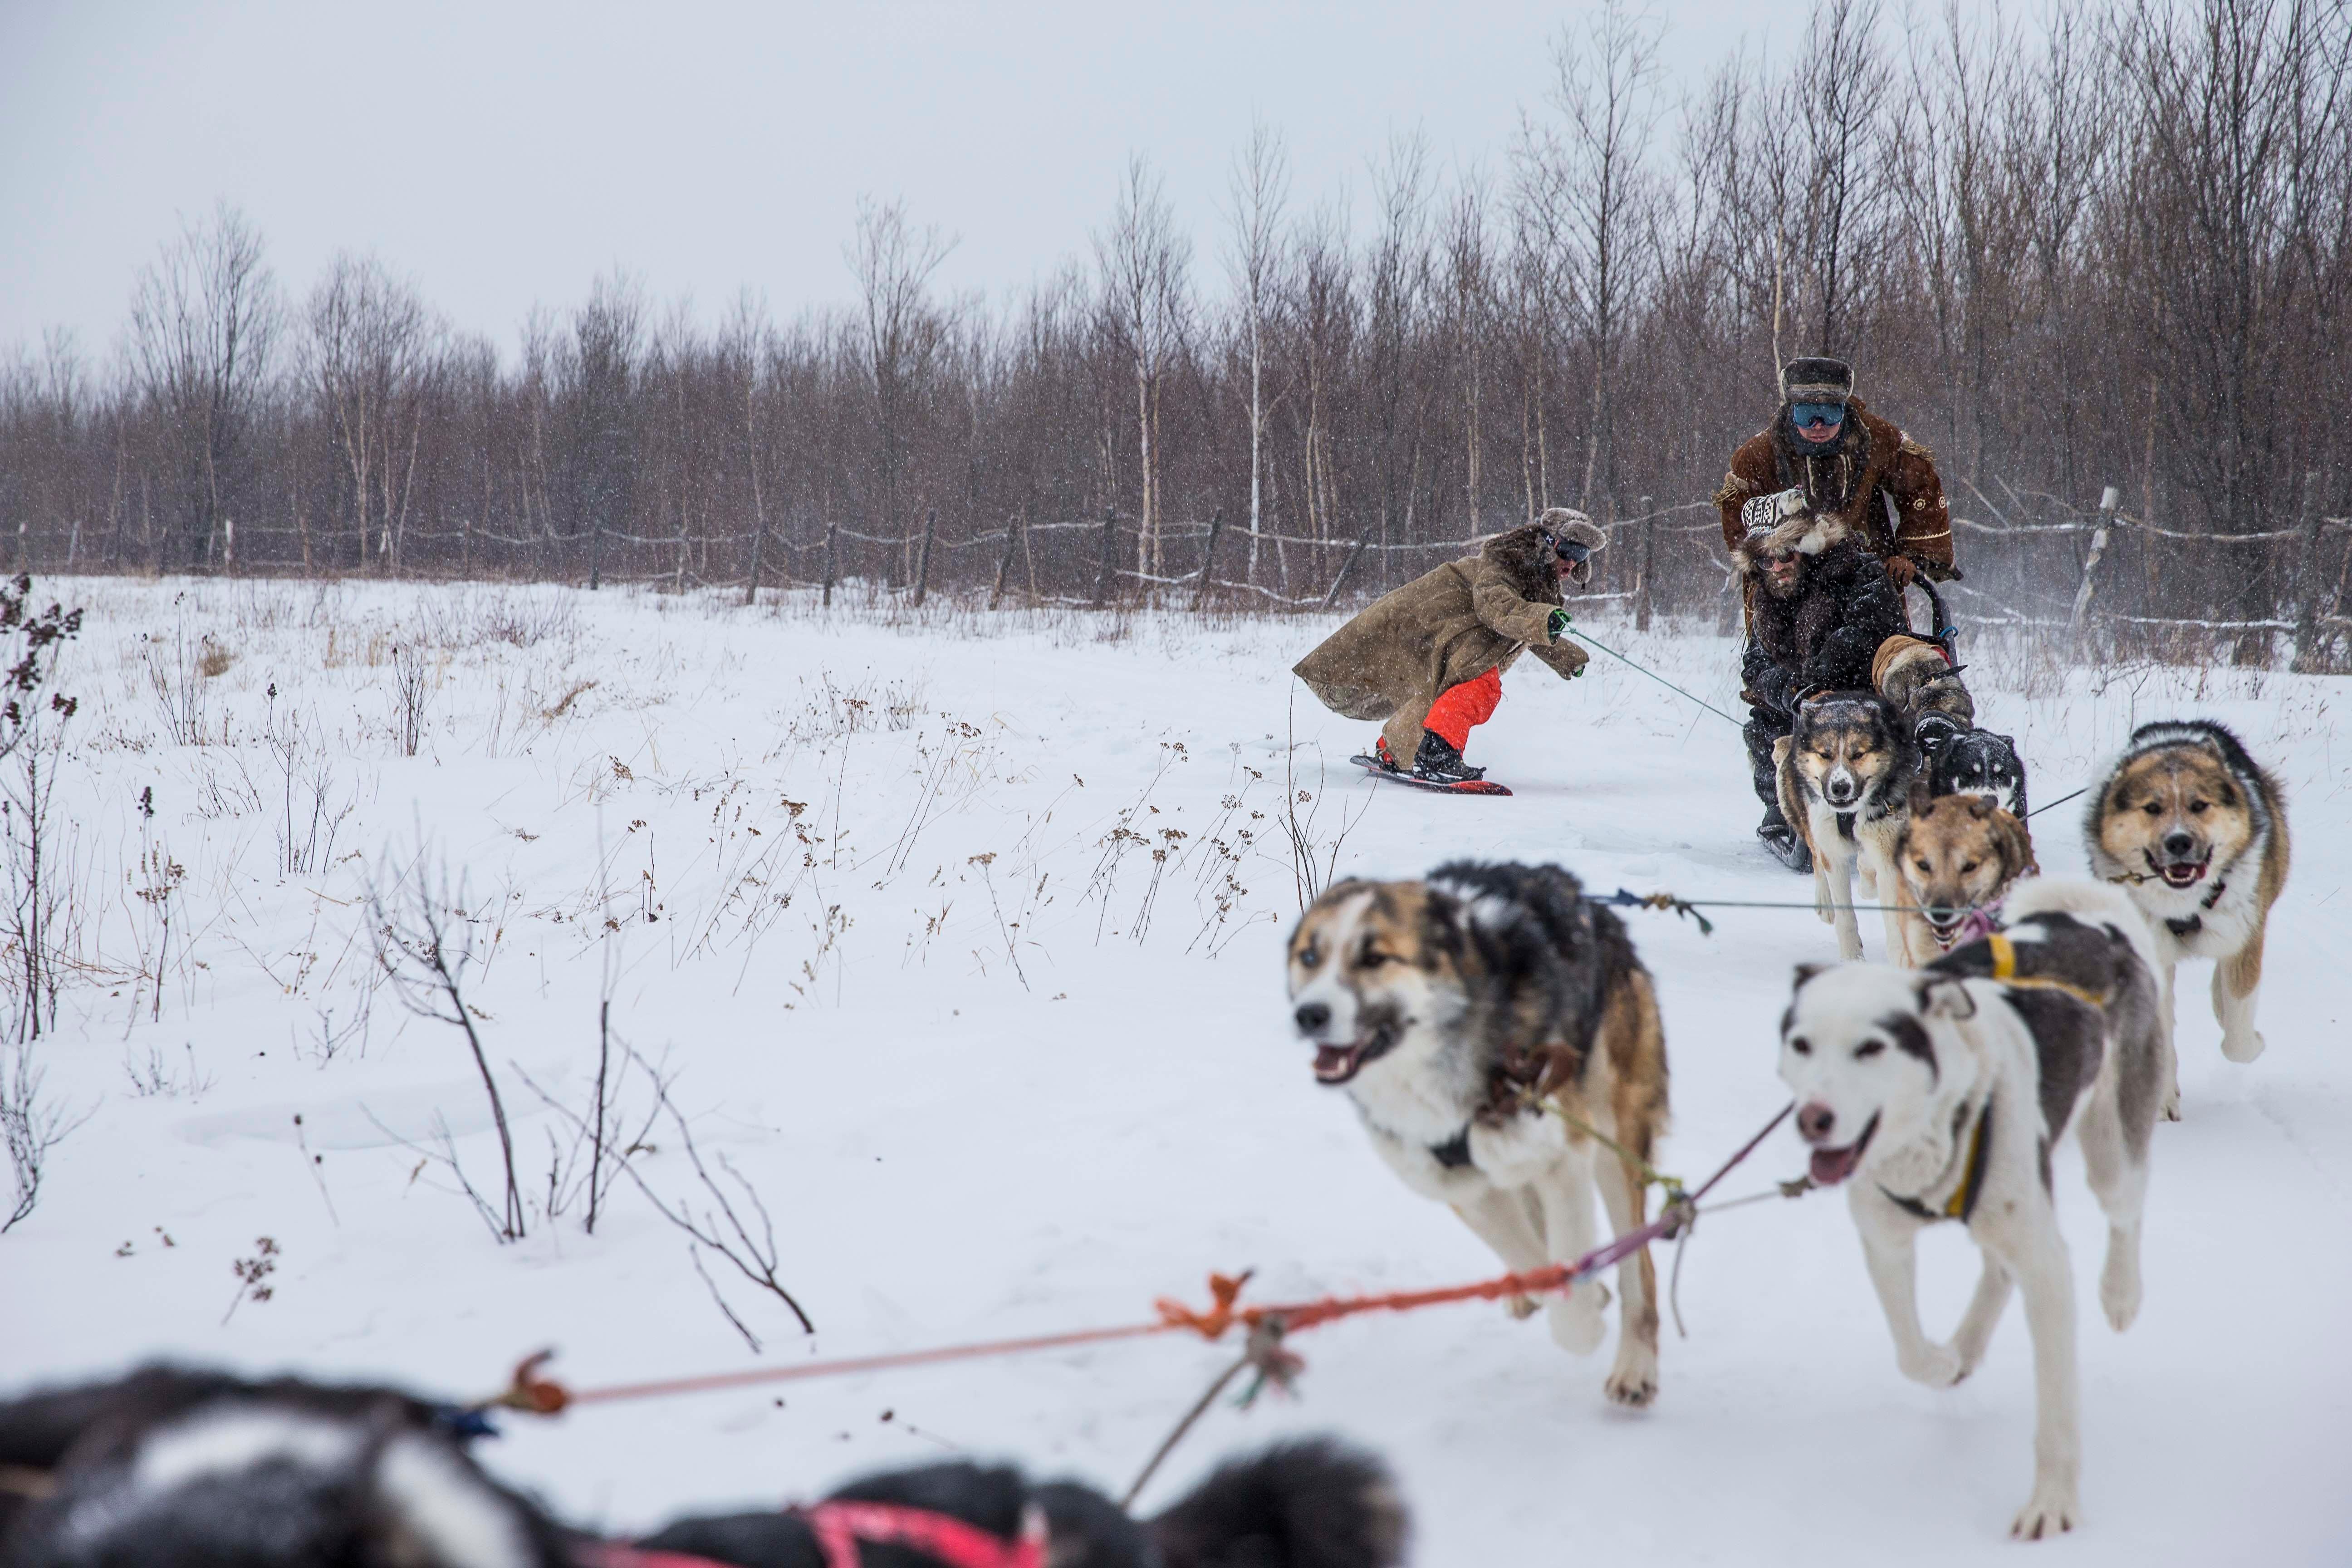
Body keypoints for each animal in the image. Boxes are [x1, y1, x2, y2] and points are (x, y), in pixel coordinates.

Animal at [1289, 860, 1675, 1410]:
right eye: (1309, 956)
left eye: (1375, 958)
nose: (1308, 1015)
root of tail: (1599, 912)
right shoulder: (1459, 1185)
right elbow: (1534, 1259)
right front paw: (1566, 1288)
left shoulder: (1563, 1157)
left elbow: (1573, 1274)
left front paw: (1582, 1324)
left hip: (1611, 1139)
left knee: (1638, 1268)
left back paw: (1634, 1367)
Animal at [1769, 691, 1919, 964]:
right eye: (1824, 754)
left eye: (1858, 754)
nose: (1840, 787)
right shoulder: (1833, 852)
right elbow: (1845, 912)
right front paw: (1852, 959)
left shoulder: (1888, 848)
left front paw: (1899, 957)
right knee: (1816, 857)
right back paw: (1824, 902)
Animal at [1778, 884, 2164, 1542]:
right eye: (1802, 1043)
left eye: (1871, 1047)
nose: (1813, 1118)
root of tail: (2090, 922)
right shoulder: (1885, 1243)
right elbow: (1911, 1354)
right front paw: (1943, 1360)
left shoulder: (2047, 1270)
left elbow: (2056, 1406)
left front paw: (2053, 1504)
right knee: (1996, 1268)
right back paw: (1966, 1344)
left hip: (2109, 1151)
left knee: (2125, 1210)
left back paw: (2120, 1293)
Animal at [2088, 719, 2286, 1109]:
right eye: (2152, 808)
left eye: (2199, 805)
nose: (2178, 841)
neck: (2186, 902)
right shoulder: (2150, 951)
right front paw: (2162, 1098)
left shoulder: (2244, 934)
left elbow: (2239, 1038)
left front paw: (2252, 1039)